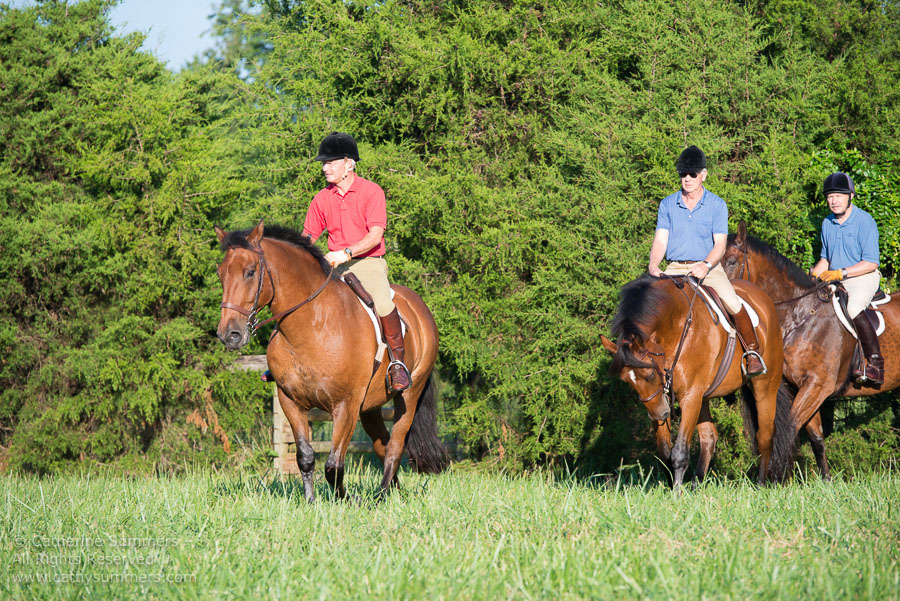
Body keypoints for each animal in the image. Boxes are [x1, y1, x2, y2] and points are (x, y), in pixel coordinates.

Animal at [214, 221, 446, 502]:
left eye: (249, 272)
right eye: (221, 274)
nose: (230, 335)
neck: (311, 326)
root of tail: (419, 306)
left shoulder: (345, 405)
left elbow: (334, 465)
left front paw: (346, 500)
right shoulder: (290, 401)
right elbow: (305, 457)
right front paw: (311, 502)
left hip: (409, 394)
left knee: (395, 445)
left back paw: (380, 496)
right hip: (370, 406)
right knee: (382, 443)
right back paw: (392, 492)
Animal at [604, 274, 788, 486]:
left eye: (649, 374)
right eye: (627, 381)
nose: (660, 415)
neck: (675, 328)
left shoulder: (690, 396)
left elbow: (679, 453)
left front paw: (676, 491)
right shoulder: (666, 397)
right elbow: (664, 451)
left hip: (765, 387)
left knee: (764, 435)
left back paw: (759, 484)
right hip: (703, 398)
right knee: (709, 437)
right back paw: (697, 484)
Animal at [724, 220, 900, 478]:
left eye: (731, 262)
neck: (800, 314)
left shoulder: (818, 386)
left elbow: (789, 426)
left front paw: (774, 476)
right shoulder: (804, 386)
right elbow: (816, 437)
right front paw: (825, 480)